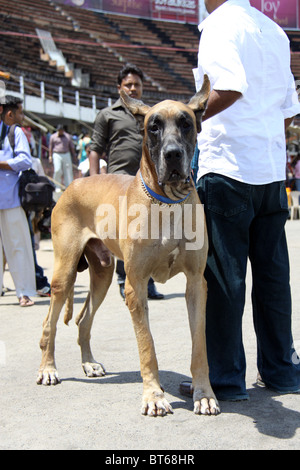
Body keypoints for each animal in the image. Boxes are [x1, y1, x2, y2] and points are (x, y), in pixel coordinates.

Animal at [37, 75, 220, 416]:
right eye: (154, 126)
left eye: (186, 123)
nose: (173, 154)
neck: (168, 202)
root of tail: (72, 183)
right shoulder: (136, 284)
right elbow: (147, 345)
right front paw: (154, 396)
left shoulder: (196, 283)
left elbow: (199, 345)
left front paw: (204, 394)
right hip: (64, 273)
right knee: (50, 323)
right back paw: (48, 368)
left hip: (103, 273)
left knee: (83, 319)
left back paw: (89, 363)